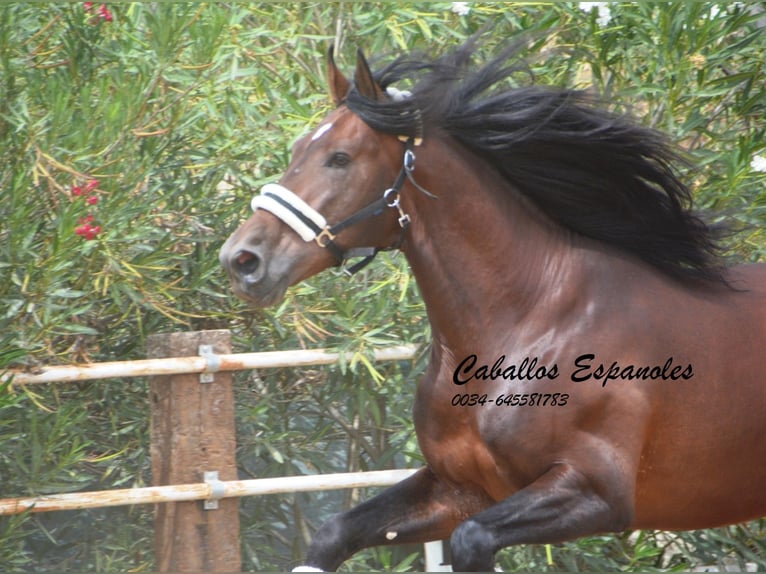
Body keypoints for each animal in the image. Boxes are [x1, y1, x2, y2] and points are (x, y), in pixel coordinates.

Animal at [220, 39, 766, 572]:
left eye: (340, 158)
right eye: (298, 149)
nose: (242, 259)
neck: (532, 321)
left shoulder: (595, 493)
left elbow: (471, 539)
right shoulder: (461, 488)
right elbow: (334, 533)